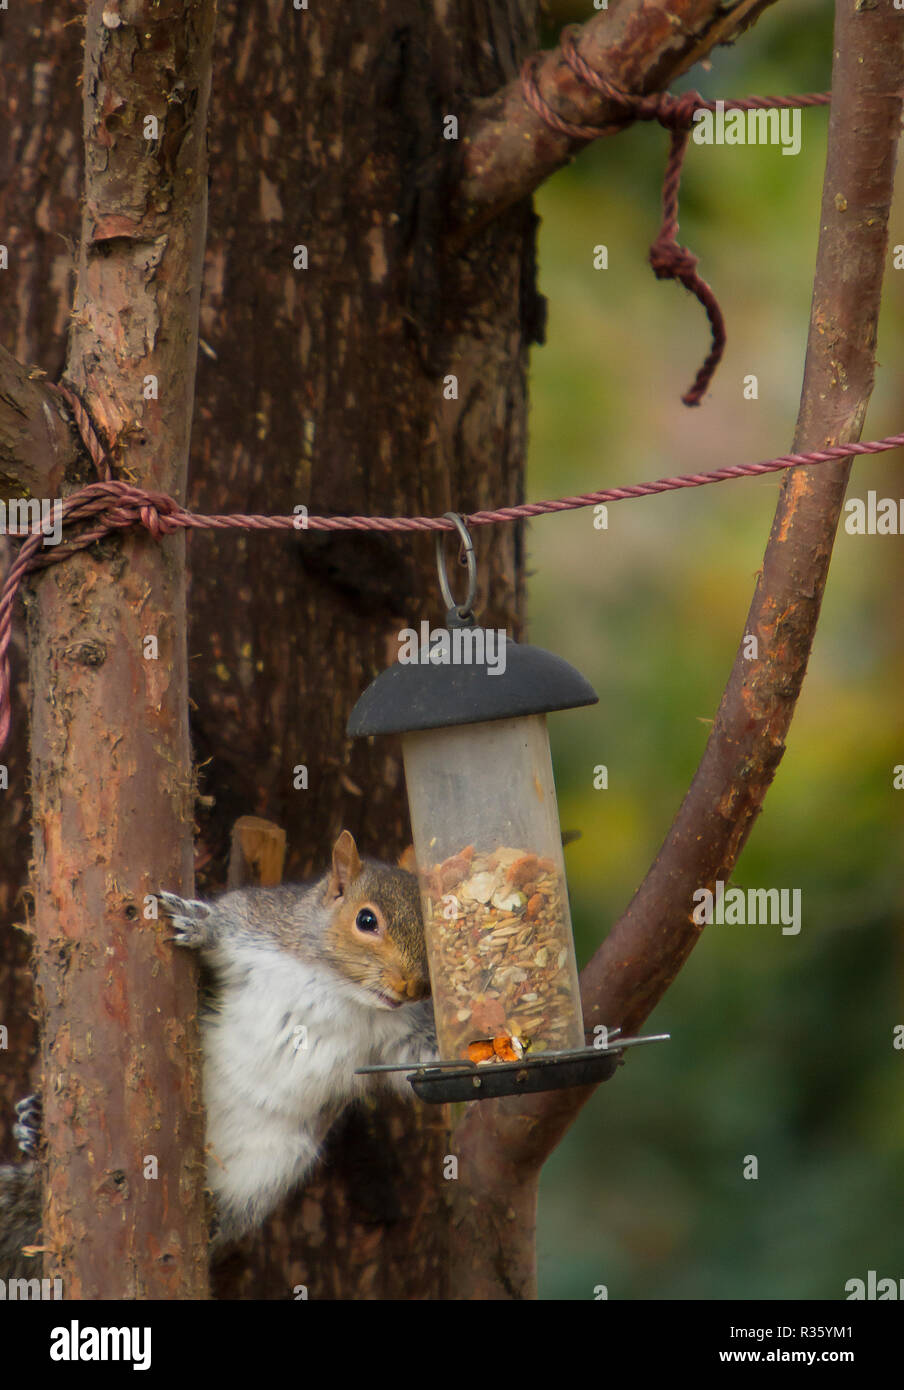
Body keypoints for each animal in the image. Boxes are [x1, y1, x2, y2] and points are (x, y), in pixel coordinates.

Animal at [0, 829, 437, 1276]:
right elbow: (224, 930)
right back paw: (33, 1120)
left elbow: (417, 1055)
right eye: (366, 920)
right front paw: (200, 925)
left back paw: (213, 1219)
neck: (342, 989)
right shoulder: (258, 926)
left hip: (266, 1173)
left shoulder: (399, 1034)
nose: (416, 986)